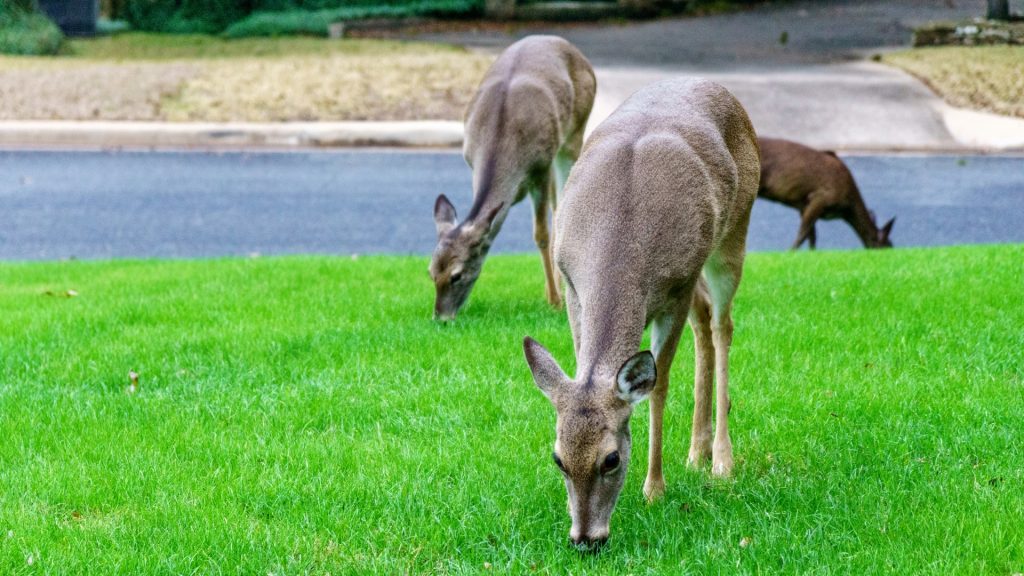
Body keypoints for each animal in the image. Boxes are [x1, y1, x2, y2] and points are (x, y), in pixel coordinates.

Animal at [428, 35, 598, 319]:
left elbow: (541, 234)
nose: (441, 318)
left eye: (456, 275)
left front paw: (555, 301)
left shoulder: (540, 167)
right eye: (431, 273)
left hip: (574, 132)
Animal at [524, 76, 757, 545]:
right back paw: (696, 451)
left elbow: (659, 386)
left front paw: (654, 489)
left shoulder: (676, 286)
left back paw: (721, 461)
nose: (586, 540)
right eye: (558, 458)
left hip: (733, 235)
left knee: (722, 325)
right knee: (705, 322)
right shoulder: (572, 286)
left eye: (611, 459)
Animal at [757, 138, 892, 250]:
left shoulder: (804, 206)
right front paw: (790, 252)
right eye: (887, 246)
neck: (846, 207)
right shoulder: (820, 197)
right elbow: (804, 233)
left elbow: (812, 235)